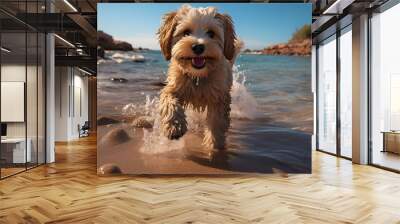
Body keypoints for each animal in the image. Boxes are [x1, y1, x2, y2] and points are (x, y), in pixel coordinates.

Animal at [158, 4, 242, 150]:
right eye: (186, 32)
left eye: (211, 33)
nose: (198, 47)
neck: (198, 76)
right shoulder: (174, 85)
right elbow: (168, 98)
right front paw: (174, 125)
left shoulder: (219, 96)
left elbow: (217, 121)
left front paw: (214, 144)